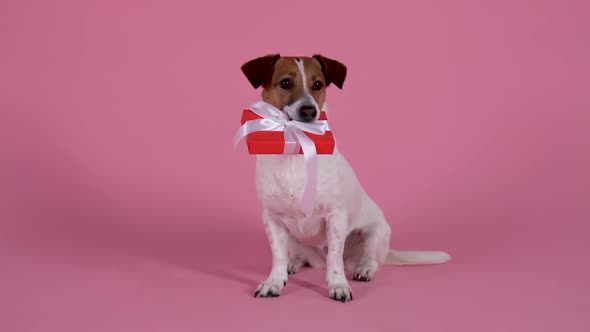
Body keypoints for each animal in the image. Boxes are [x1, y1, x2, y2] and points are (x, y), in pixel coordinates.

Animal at [243, 53, 450, 302]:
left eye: (317, 84)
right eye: (286, 83)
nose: (310, 110)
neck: (298, 147)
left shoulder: (335, 217)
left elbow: (335, 257)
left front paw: (338, 285)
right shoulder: (273, 219)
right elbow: (278, 256)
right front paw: (274, 282)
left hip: (375, 234)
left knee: (370, 261)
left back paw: (364, 269)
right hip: (294, 237)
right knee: (302, 256)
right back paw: (296, 262)